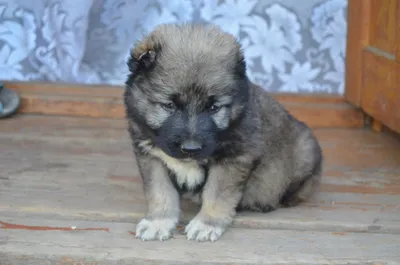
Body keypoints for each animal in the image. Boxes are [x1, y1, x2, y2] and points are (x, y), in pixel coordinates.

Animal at [123, 22, 324, 241]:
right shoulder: (151, 156)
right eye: (169, 105)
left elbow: (216, 193)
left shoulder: (233, 158)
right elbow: (159, 191)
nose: (191, 148)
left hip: (305, 149)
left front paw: (207, 223)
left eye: (214, 107)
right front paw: (158, 221)